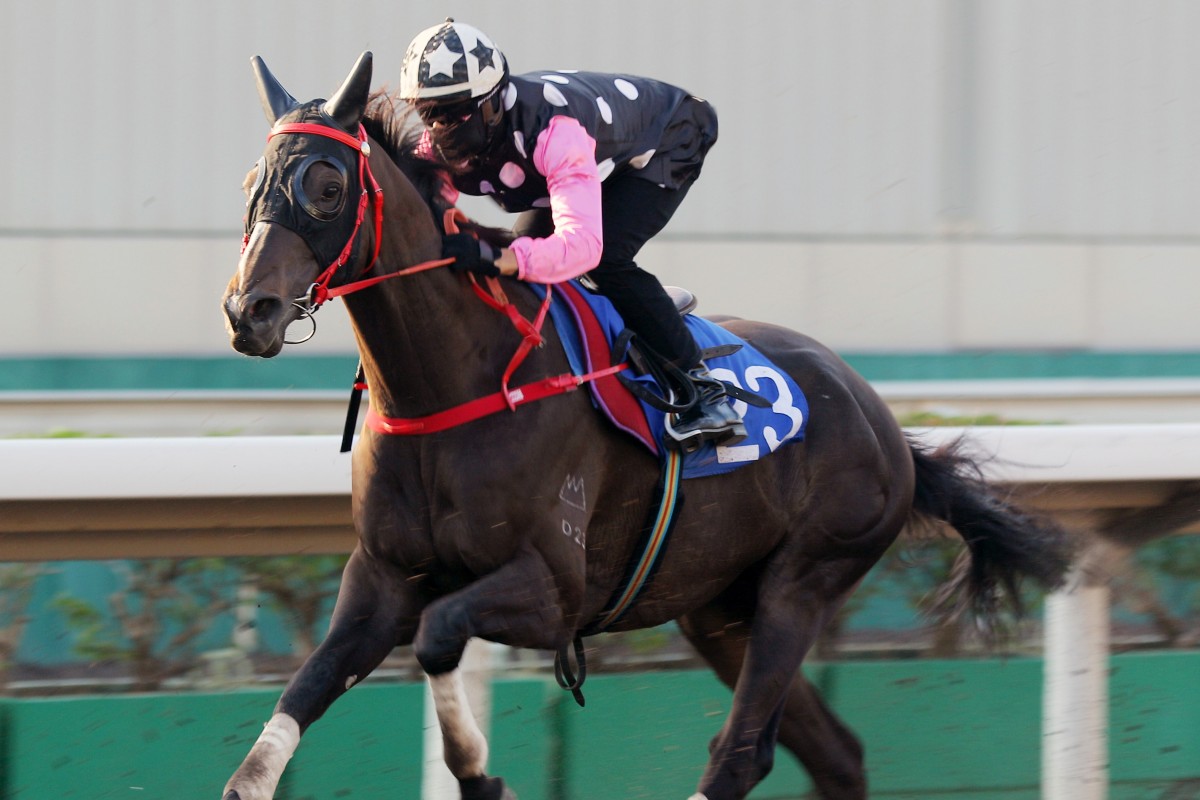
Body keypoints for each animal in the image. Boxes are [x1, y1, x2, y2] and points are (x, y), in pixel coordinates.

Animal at [220, 51, 1075, 800]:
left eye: (327, 185)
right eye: (252, 182)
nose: (247, 310)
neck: (457, 384)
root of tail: (886, 426)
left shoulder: (556, 592)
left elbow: (436, 637)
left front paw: (482, 775)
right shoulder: (382, 579)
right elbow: (290, 712)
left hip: (805, 580)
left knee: (741, 752)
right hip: (720, 607)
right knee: (833, 754)